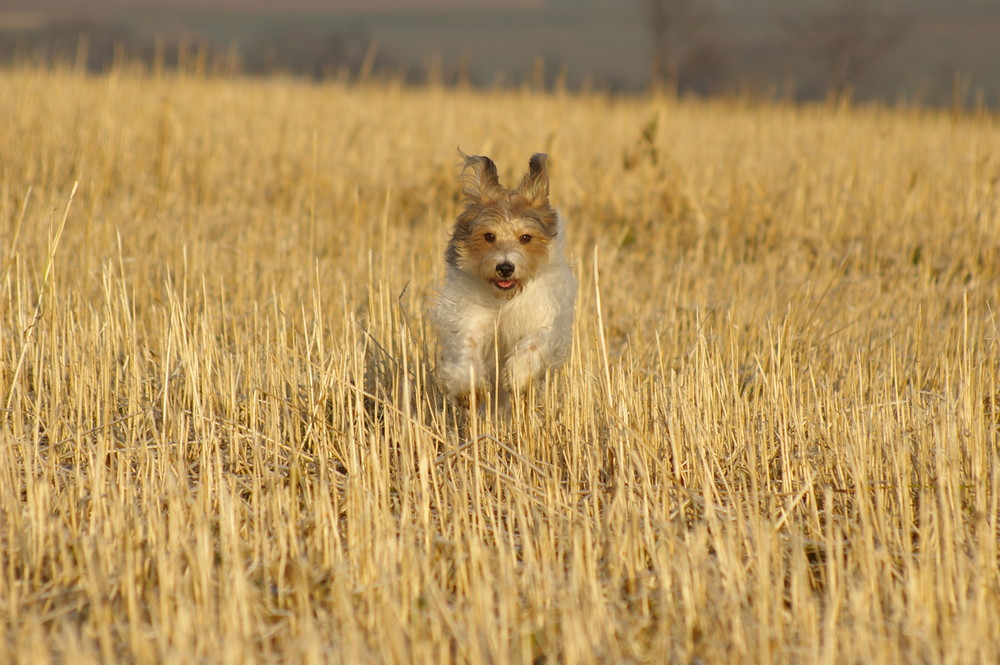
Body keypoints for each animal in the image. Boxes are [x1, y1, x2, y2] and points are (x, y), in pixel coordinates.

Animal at [432, 151, 580, 408]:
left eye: (526, 237)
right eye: (489, 236)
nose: (505, 267)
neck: (505, 298)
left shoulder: (546, 318)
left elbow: (535, 340)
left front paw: (518, 374)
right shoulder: (471, 317)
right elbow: (466, 347)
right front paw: (467, 387)